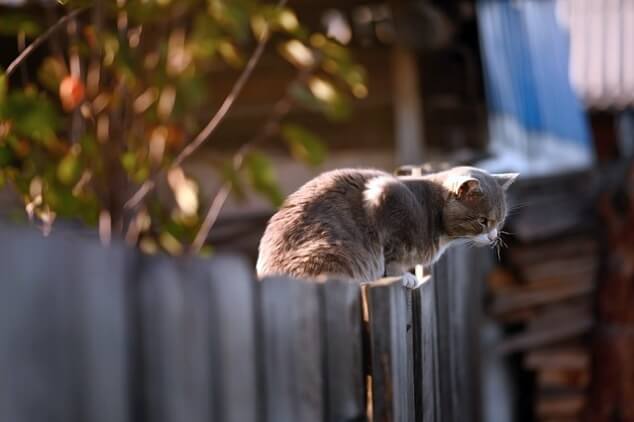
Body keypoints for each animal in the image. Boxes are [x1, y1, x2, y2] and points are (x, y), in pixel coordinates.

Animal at [254, 166, 516, 288]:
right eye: (483, 221)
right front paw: (405, 276)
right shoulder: (385, 195)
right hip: (328, 250)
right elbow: (392, 256)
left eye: (500, 221)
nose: (493, 237)